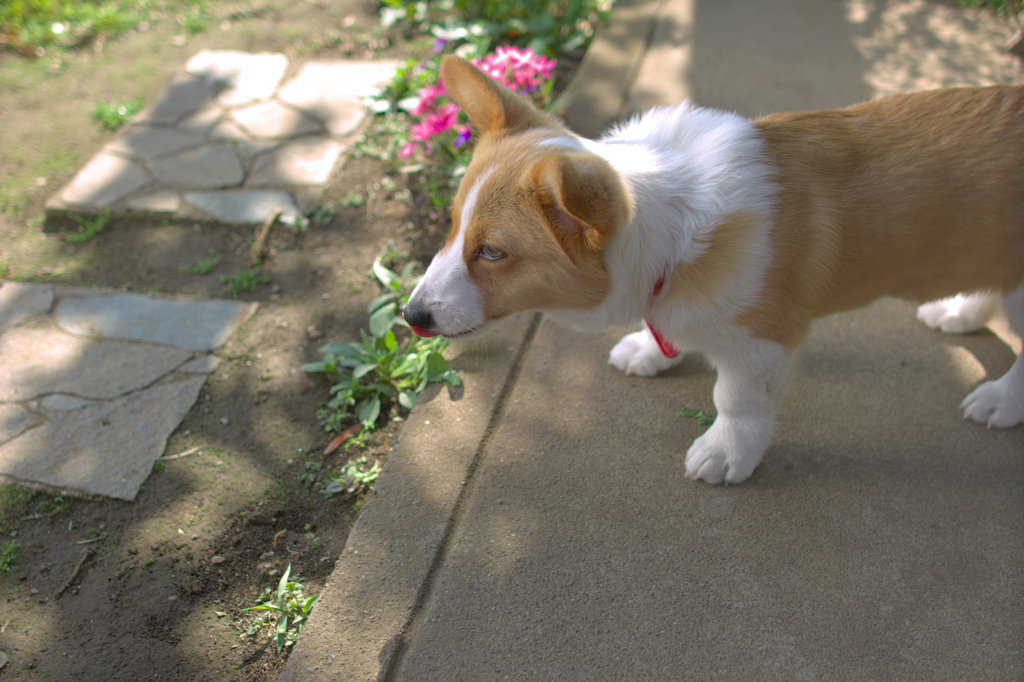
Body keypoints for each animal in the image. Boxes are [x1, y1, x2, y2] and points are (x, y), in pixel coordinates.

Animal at [405, 57, 1024, 483]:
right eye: (453, 226)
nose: (411, 316)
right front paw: (650, 350)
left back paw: (1000, 400)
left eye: (492, 252)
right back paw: (959, 312)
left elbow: (737, 401)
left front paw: (726, 455)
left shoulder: (761, 342)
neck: (671, 232)